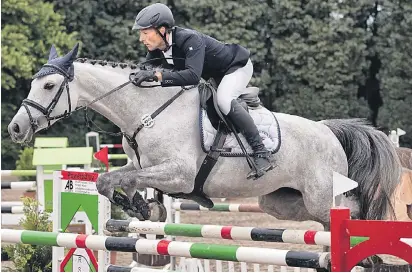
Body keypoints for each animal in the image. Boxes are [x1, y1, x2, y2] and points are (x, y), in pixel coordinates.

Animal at [7, 44, 402, 230]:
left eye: (49, 85)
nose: (15, 128)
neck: (147, 110)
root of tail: (327, 130)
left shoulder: (179, 174)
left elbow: (119, 179)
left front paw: (139, 206)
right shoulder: (146, 168)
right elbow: (116, 180)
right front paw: (143, 208)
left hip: (322, 195)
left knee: (351, 212)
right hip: (281, 201)